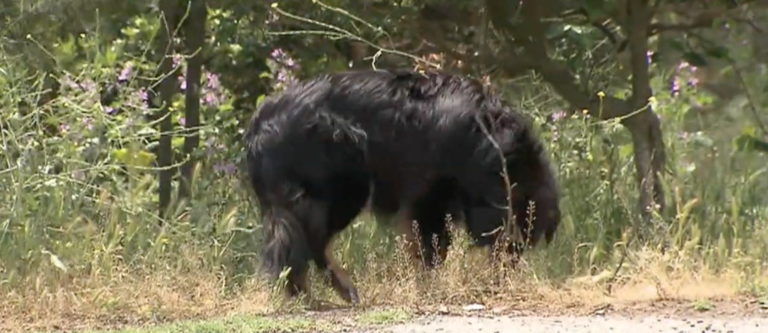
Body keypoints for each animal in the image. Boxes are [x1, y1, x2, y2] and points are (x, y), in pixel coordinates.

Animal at [243, 68, 560, 304]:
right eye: (519, 230)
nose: (505, 278)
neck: (489, 142)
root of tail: (260, 120)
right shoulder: (429, 198)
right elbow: (431, 247)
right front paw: (429, 282)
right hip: (345, 185)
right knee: (309, 244)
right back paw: (323, 294)